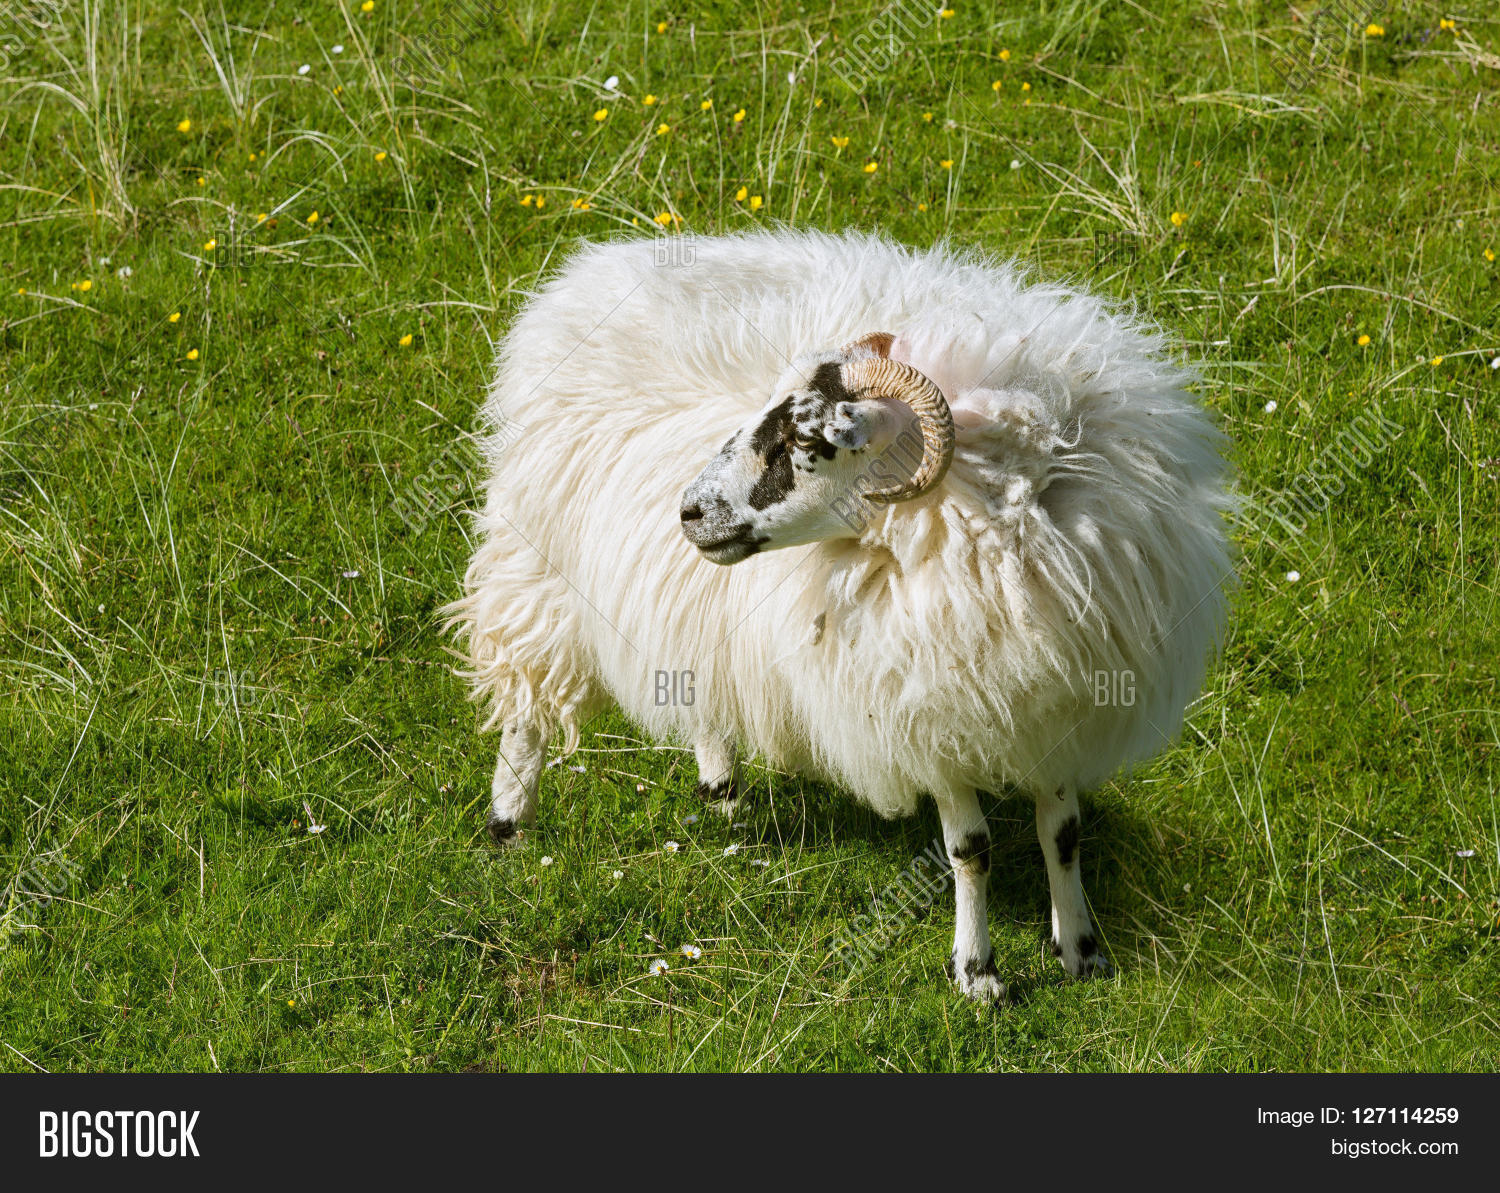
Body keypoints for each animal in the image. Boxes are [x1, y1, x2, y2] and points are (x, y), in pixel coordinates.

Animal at [443, 228, 1233, 1004]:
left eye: (802, 440)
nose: (689, 511)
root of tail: (591, 266)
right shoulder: (930, 713)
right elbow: (970, 851)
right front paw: (979, 975)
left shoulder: (1054, 707)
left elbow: (1062, 833)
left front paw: (1081, 951)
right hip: (536, 568)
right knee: (525, 701)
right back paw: (510, 823)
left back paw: (721, 795)